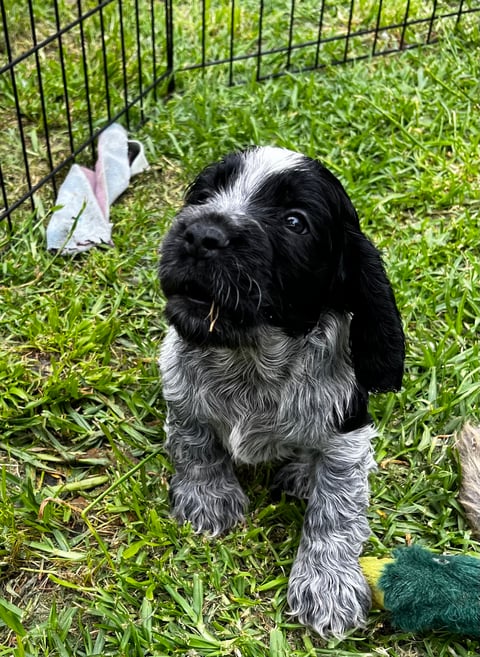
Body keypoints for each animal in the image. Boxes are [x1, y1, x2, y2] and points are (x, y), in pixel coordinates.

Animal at [158, 145, 404, 636]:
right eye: (203, 194)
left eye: (294, 221)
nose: (200, 234)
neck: (250, 357)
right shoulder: (176, 380)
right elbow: (193, 442)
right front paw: (208, 498)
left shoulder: (347, 430)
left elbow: (337, 508)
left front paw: (328, 584)